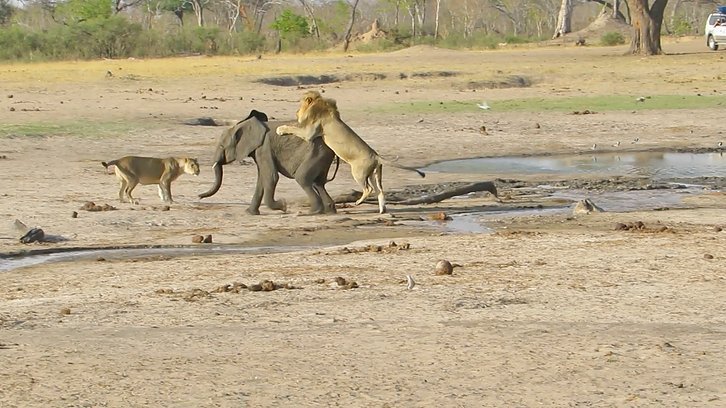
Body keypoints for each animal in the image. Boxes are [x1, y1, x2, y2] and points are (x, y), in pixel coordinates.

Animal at [196, 110, 338, 215]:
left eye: (221, 146)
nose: (198, 196)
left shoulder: (264, 147)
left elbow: (270, 177)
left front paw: (283, 206)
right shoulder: (259, 150)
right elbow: (262, 178)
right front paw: (250, 213)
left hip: (316, 154)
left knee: (303, 178)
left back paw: (313, 212)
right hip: (322, 156)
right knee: (318, 182)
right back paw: (329, 211)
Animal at [278, 91, 426, 214]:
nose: (296, 111)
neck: (320, 105)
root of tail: (376, 156)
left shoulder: (310, 133)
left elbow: (294, 128)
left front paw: (280, 129)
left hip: (358, 173)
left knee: (368, 189)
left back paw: (358, 202)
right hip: (374, 175)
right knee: (379, 190)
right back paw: (382, 210)